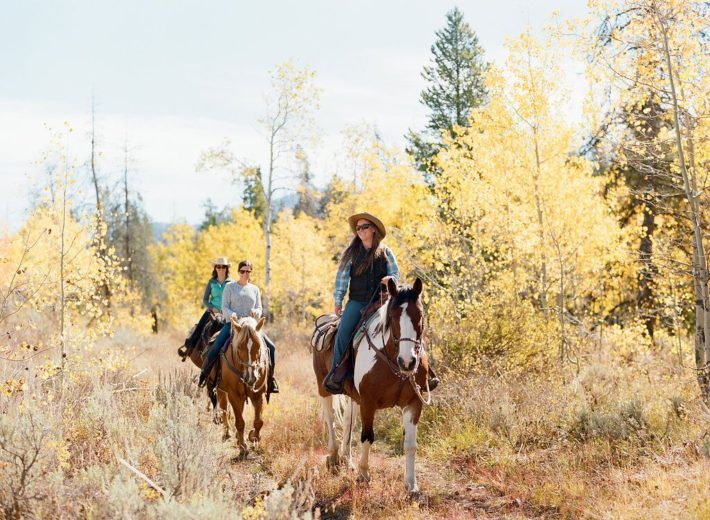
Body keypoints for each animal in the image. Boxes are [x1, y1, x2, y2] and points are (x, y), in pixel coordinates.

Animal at [217, 314, 270, 458]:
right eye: (239, 347)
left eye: (258, 346)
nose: (251, 378)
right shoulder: (233, 394)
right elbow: (240, 422)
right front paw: (242, 448)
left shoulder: (258, 393)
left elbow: (258, 421)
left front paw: (254, 438)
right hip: (221, 390)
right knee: (224, 409)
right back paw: (228, 433)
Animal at [312, 276, 434, 492]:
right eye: (392, 317)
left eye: (419, 315)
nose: (408, 362)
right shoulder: (368, 402)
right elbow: (367, 436)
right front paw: (363, 474)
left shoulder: (414, 403)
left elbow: (410, 443)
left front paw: (411, 484)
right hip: (323, 388)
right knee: (330, 418)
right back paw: (334, 457)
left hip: (353, 396)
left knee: (348, 422)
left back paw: (347, 459)